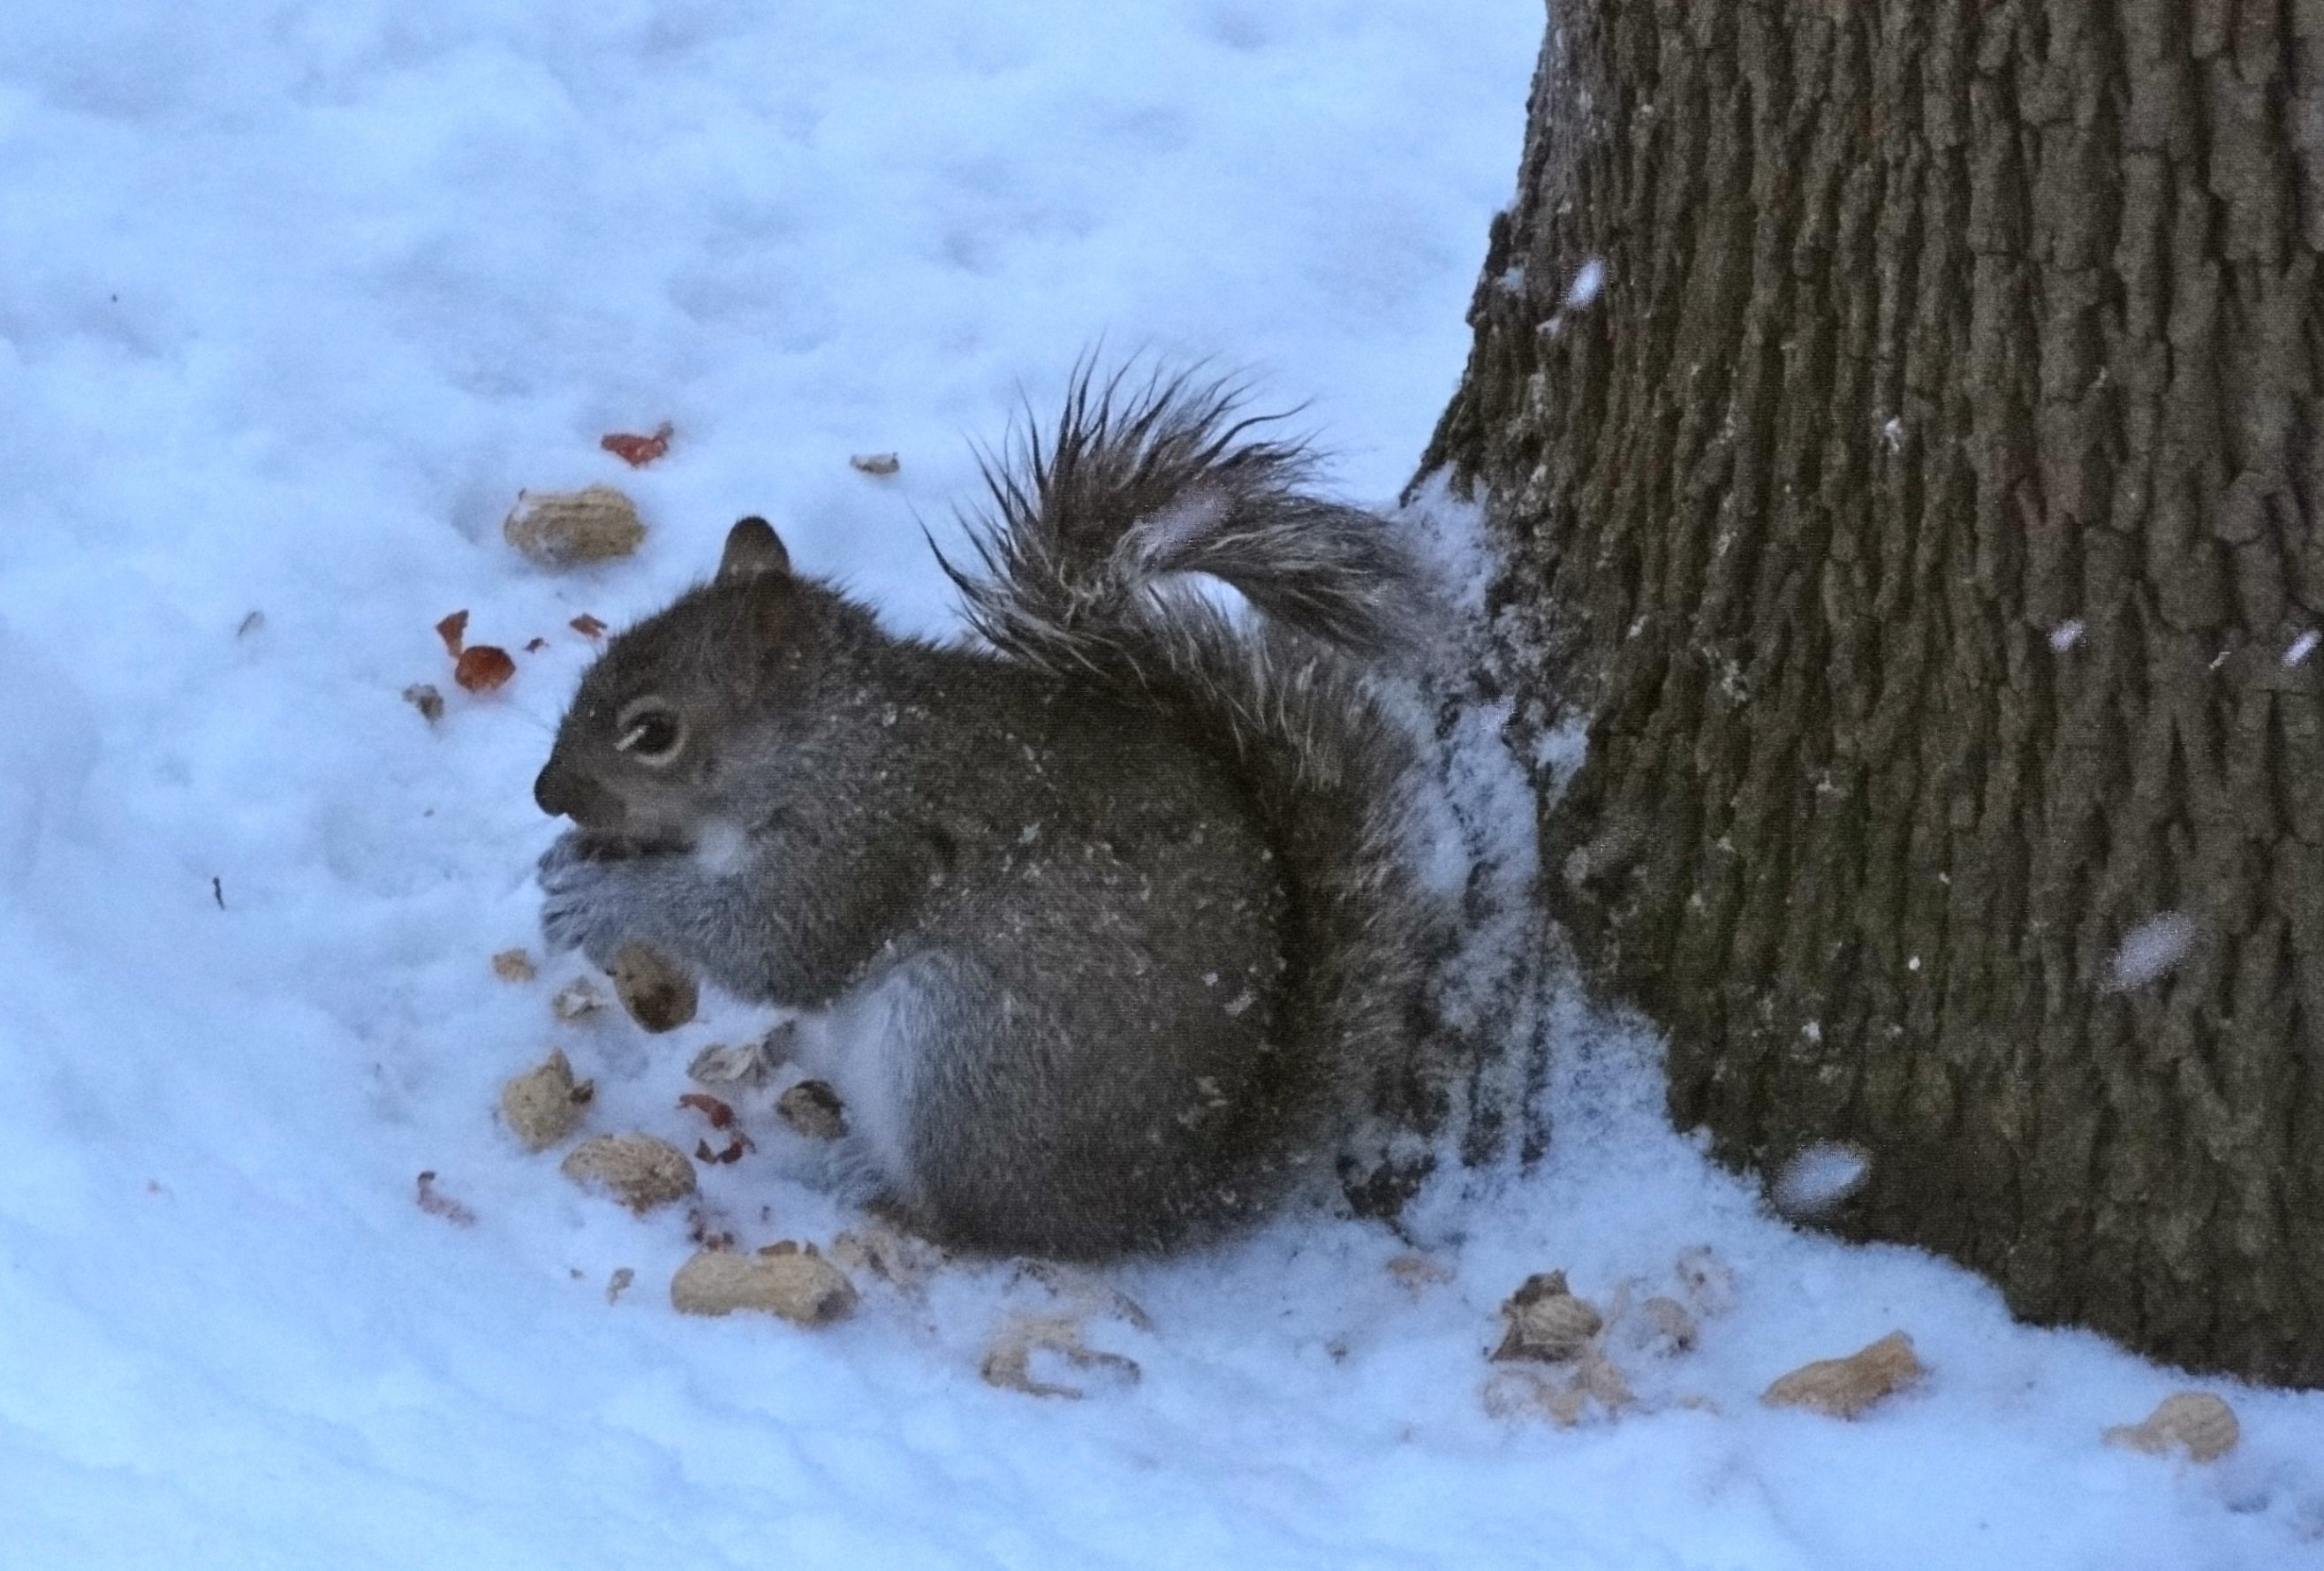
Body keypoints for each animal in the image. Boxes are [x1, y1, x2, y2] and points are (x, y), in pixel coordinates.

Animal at [536, 364, 1431, 1255]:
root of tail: (1155, 1198)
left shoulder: (855, 842)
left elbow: (771, 945)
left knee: (973, 1223)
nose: (547, 795)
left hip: (963, 1044)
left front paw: (605, 900)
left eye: (654, 733)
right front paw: (567, 869)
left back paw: (872, 1191)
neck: (828, 742)